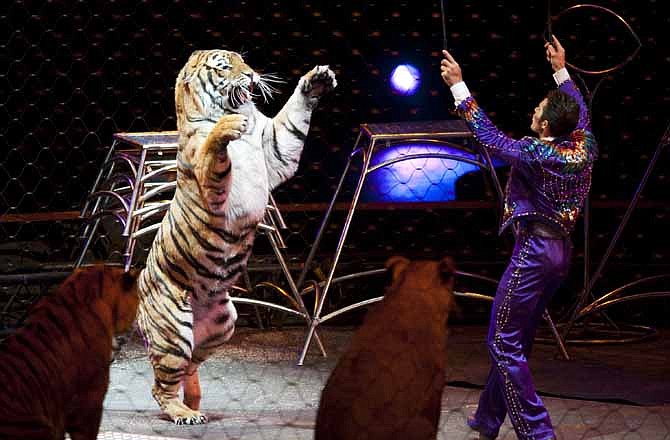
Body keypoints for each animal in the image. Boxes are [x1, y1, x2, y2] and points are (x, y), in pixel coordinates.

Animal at [137, 49, 338, 424]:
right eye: (224, 66)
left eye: (242, 60)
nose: (252, 74)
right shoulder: (213, 185)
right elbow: (214, 150)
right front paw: (228, 127)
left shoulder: (274, 148)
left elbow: (292, 120)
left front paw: (315, 80)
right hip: (173, 330)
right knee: (162, 385)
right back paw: (183, 412)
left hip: (222, 323)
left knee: (190, 365)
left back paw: (194, 401)